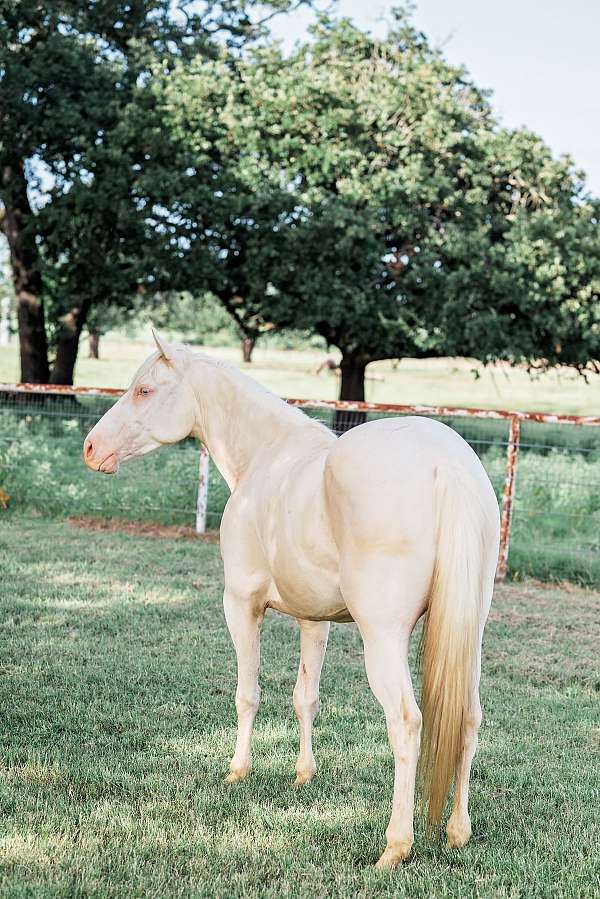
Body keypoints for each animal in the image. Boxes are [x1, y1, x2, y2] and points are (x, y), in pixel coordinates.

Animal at [83, 331, 500, 869]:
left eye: (145, 391)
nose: (92, 448)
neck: (268, 457)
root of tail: (445, 465)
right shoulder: (313, 620)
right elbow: (306, 697)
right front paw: (303, 775)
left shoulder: (241, 604)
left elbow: (247, 694)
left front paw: (237, 771)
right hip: (469, 635)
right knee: (467, 719)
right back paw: (457, 832)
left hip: (383, 639)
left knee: (406, 723)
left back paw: (396, 846)